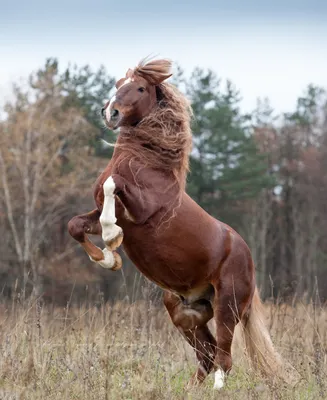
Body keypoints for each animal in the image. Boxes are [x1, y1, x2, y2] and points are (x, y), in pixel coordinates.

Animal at [68, 57, 290, 390]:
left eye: (140, 87)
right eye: (118, 83)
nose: (110, 112)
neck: (146, 164)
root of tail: (247, 256)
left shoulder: (141, 212)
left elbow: (112, 184)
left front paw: (111, 238)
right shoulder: (104, 215)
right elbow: (76, 225)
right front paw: (109, 259)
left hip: (227, 307)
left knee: (224, 358)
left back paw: (216, 391)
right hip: (185, 313)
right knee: (208, 356)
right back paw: (189, 390)